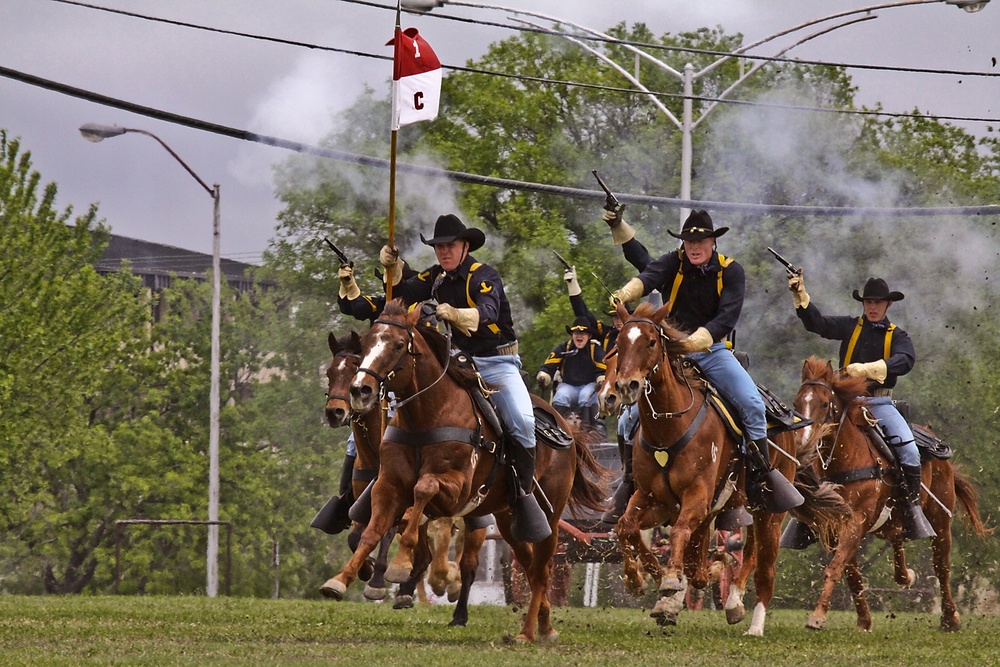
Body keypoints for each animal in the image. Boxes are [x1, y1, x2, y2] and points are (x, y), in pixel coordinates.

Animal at [324, 302, 604, 640]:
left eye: (399, 345)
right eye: (365, 346)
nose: (359, 392)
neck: (426, 416)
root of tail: (567, 431)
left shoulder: (454, 492)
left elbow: (422, 492)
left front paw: (401, 567)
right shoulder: (386, 487)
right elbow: (370, 533)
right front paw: (340, 580)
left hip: (548, 519)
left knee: (540, 568)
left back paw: (525, 632)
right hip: (509, 520)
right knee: (529, 564)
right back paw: (545, 624)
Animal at [600, 302, 852, 636]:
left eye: (651, 342)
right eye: (618, 344)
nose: (624, 387)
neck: (670, 426)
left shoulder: (697, 497)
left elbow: (680, 534)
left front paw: (671, 583)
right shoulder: (652, 499)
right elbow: (626, 527)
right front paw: (641, 580)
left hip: (770, 511)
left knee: (764, 568)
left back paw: (754, 624)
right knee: (743, 551)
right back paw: (730, 600)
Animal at [788, 354, 992, 632]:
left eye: (823, 403)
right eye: (796, 403)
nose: (802, 443)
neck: (847, 458)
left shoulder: (857, 521)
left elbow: (836, 567)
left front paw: (817, 616)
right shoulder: (833, 526)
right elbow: (850, 571)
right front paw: (864, 620)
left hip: (940, 520)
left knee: (941, 566)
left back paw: (950, 618)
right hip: (892, 521)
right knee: (898, 541)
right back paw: (906, 576)